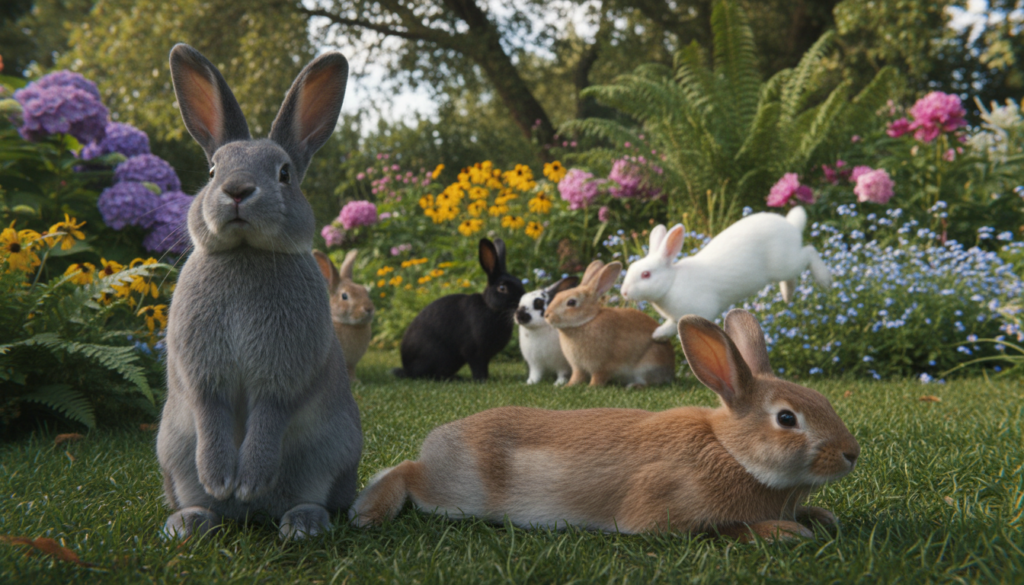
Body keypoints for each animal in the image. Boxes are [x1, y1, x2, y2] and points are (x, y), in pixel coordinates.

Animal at [156, 44, 362, 540]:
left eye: (284, 173)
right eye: (213, 171)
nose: (236, 190)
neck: (246, 253)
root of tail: (252, 519)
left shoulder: (282, 372)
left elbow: (270, 413)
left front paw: (247, 480)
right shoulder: (202, 371)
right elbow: (210, 410)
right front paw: (219, 477)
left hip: (331, 454)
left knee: (311, 496)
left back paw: (299, 523)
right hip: (172, 454)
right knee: (196, 498)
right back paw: (191, 520)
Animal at [348, 309, 860, 542]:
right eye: (787, 418)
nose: (851, 454)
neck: (730, 449)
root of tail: (438, 442)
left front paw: (820, 517)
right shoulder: (666, 515)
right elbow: (718, 530)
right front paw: (784, 532)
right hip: (458, 494)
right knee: (406, 473)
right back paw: (368, 513)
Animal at [394, 238, 525, 381]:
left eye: (520, 282)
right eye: (502, 288)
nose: (523, 301)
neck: (490, 308)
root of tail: (407, 368)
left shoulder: (484, 356)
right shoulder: (474, 352)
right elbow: (478, 368)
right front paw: (482, 380)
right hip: (439, 356)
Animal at [545, 260, 674, 387]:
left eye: (571, 302)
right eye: (557, 296)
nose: (546, 315)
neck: (587, 321)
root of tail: (670, 371)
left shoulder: (602, 366)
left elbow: (598, 377)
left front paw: (591, 387)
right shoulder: (578, 367)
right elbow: (577, 377)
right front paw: (567, 386)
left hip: (648, 365)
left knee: (649, 383)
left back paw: (634, 386)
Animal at [621, 207, 832, 341]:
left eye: (646, 274)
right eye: (630, 268)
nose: (623, 292)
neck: (672, 282)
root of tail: (791, 226)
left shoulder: (698, 311)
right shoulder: (674, 317)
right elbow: (669, 326)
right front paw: (657, 335)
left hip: (786, 262)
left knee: (809, 252)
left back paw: (825, 280)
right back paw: (788, 296)